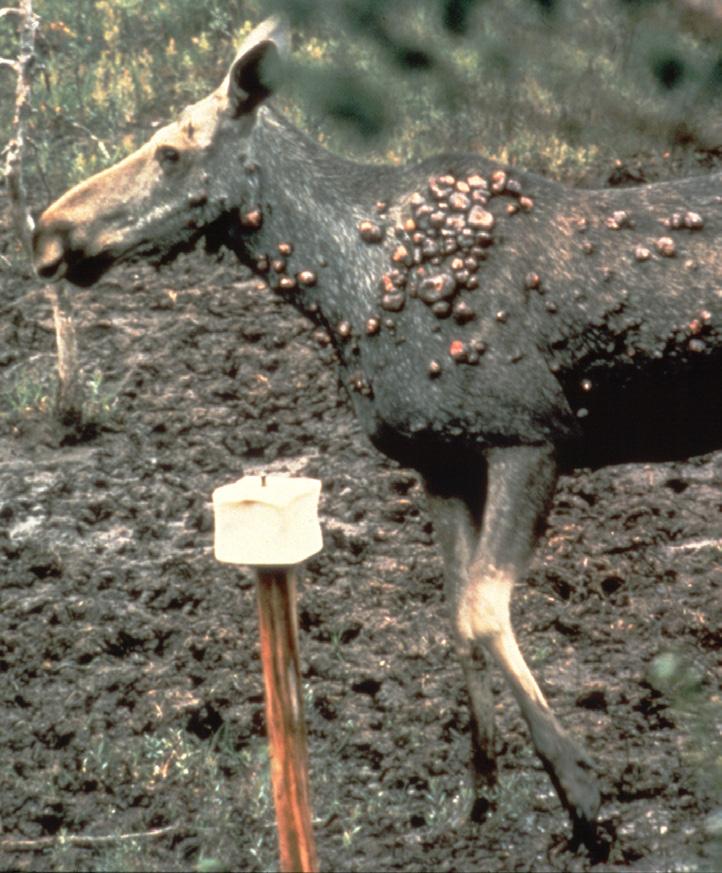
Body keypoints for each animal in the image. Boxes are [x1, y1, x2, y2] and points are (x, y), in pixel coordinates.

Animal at [31, 13, 716, 844]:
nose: (47, 230)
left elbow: (484, 607)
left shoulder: (530, 433)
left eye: (170, 152)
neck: (338, 291)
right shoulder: (440, 459)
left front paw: (582, 791)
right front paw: (480, 793)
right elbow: (455, 615)